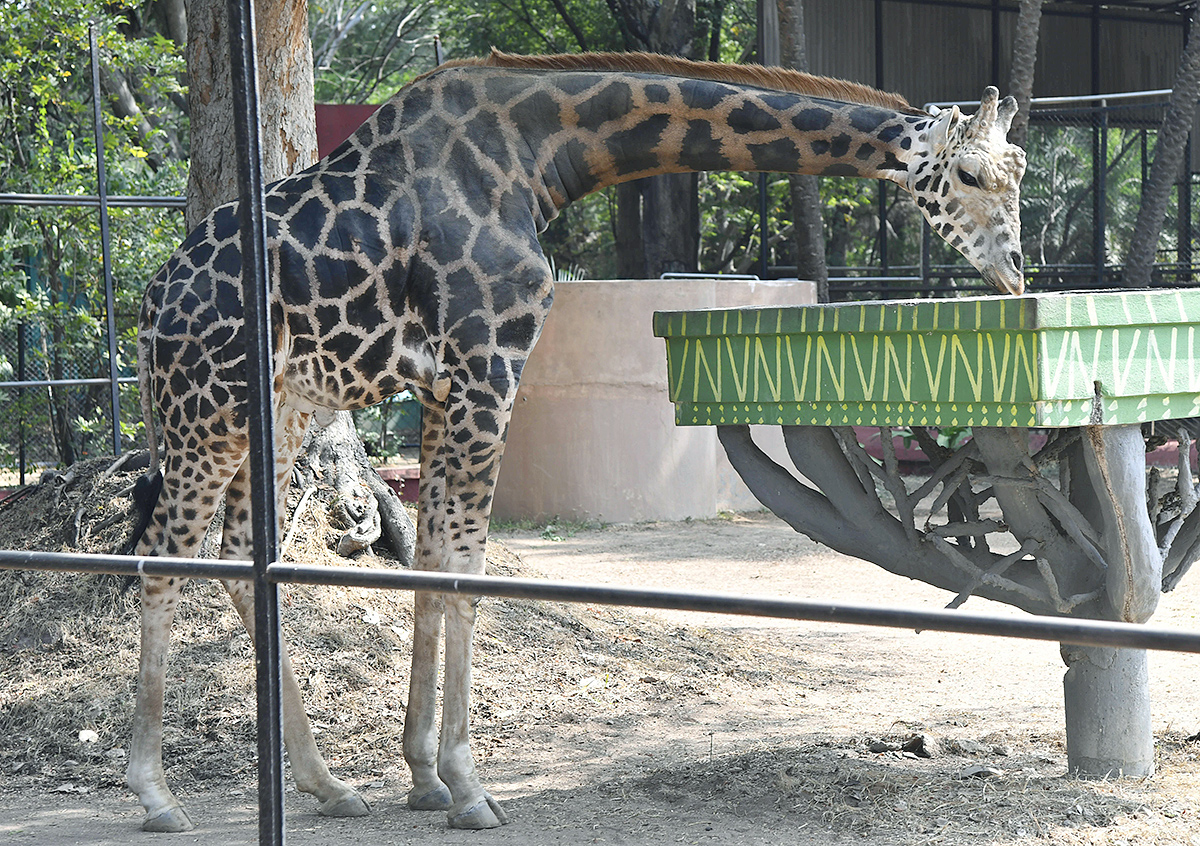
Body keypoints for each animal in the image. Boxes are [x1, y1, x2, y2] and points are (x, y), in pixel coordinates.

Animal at [124, 49, 1022, 830]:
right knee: (166, 551)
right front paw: (468, 787)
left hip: (280, 407)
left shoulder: (442, 386)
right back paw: (156, 794)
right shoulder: (491, 367)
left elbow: (431, 558)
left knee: (241, 548)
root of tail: (150, 303)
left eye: (1019, 173)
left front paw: (421, 776)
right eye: (972, 175)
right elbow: (468, 567)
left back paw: (326, 784)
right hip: (209, 408)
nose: (1015, 274)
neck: (540, 153)